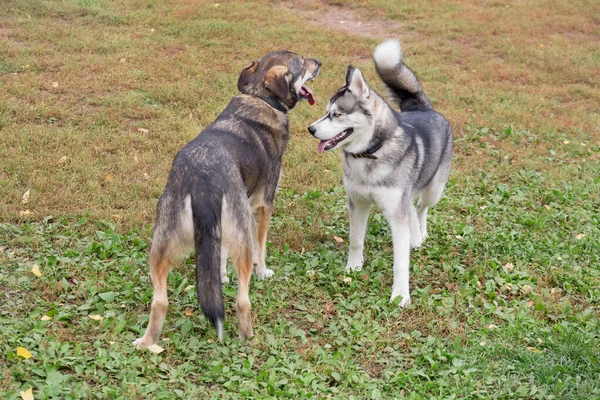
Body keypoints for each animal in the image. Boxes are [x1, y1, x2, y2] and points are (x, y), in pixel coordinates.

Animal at [131, 39, 450, 348]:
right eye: (301, 62)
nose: (318, 61)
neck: (261, 99)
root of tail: (200, 178)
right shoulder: (262, 205)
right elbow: (260, 250)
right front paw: (263, 272)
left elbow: (217, 261)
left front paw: (221, 277)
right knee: (242, 300)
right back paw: (248, 339)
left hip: (160, 251)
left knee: (159, 302)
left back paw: (147, 342)